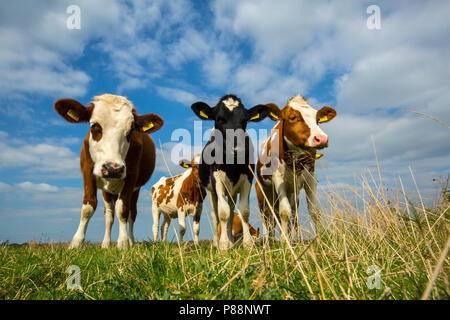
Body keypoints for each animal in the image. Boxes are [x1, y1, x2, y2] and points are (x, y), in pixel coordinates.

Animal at [54, 94, 163, 249]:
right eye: (94, 126)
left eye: (131, 131)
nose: (113, 168)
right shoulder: (87, 172)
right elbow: (88, 207)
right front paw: (76, 242)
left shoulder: (131, 176)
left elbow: (123, 209)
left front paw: (123, 243)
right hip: (107, 189)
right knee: (109, 214)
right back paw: (106, 243)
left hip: (136, 189)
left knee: (131, 213)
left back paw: (131, 241)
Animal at [191, 94, 270, 251]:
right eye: (219, 119)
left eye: (244, 121)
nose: (238, 149)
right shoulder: (217, 181)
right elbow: (222, 212)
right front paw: (222, 245)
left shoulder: (248, 179)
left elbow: (243, 211)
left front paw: (247, 243)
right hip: (211, 191)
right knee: (216, 215)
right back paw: (217, 242)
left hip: (232, 192)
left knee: (232, 212)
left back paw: (231, 242)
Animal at [255, 95, 336, 242]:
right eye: (292, 117)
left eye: (317, 119)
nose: (321, 139)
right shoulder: (278, 179)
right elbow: (284, 212)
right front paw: (284, 242)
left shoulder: (310, 178)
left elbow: (314, 210)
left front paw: (321, 240)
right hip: (262, 195)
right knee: (266, 218)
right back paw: (268, 242)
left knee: (279, 218)